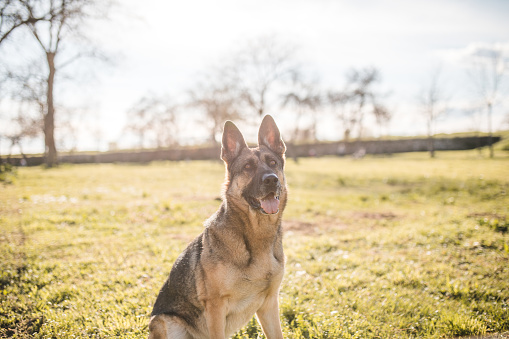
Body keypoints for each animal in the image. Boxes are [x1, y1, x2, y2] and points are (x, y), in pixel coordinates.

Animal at [149, 115, 288, 338]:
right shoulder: (216, 307)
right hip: (164, 322)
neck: (256, 235)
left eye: (273, 163)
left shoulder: (269, 304)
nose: (271, 180)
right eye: (247, 167)